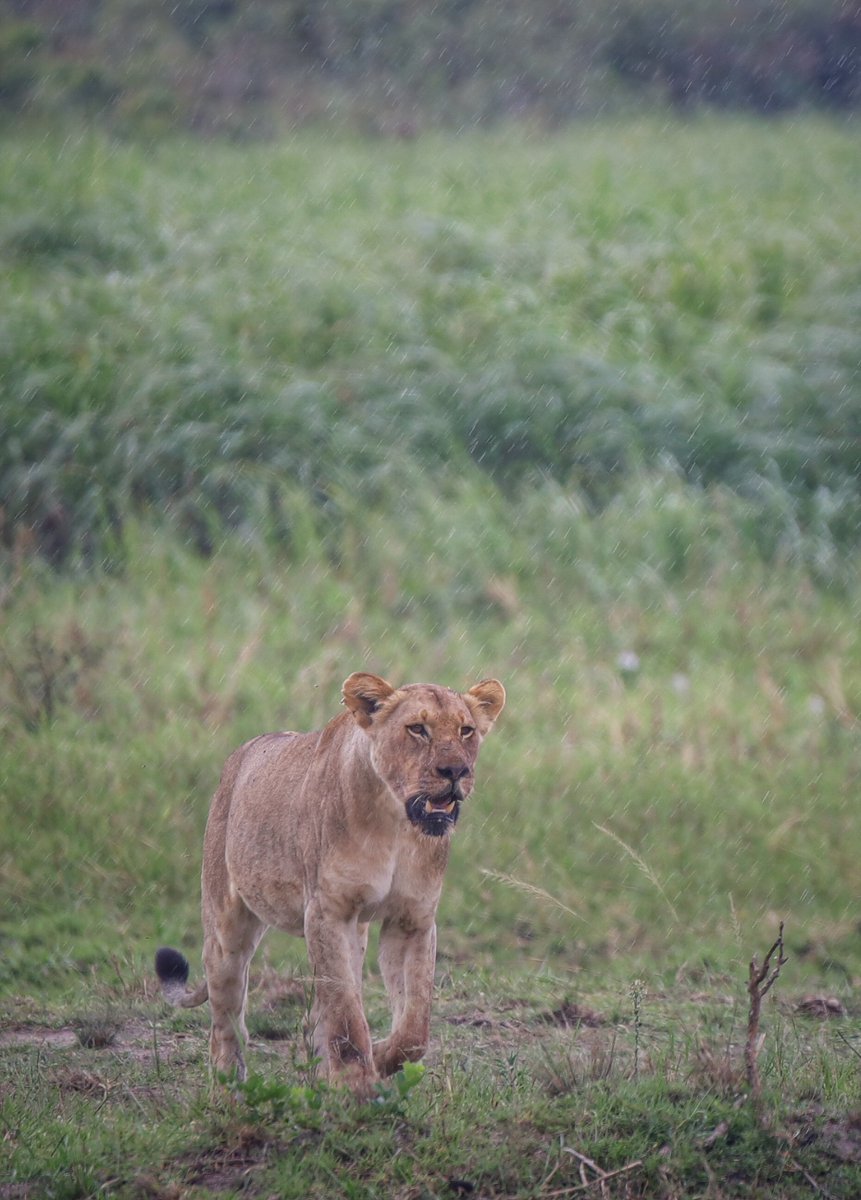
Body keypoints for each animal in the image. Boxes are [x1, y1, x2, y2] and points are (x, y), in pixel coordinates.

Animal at [155, 671, 505, 1095]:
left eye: (466, 730)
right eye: (417, 729)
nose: (456, 771)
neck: (396, 823)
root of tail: (240, 756)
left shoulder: (412, 919)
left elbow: (413, 1027)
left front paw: (379, 1058)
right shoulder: (328, 912)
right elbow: (345, 1012)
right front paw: (356, 1082)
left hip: (355, 932)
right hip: (226, 923)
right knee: (227, 1017)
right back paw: (228, 1088)